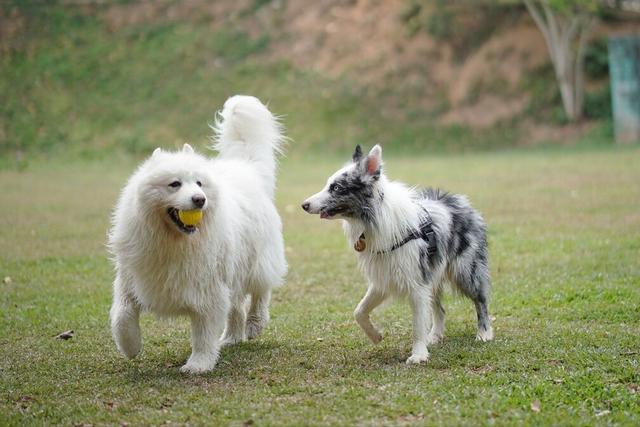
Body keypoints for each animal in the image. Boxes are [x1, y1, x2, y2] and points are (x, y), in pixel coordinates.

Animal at [108, 95, 288, 372]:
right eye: (175, 184)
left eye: (199, 183)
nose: (200, 199)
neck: (173, 241)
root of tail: (245, 168)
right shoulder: (131, 278)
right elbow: (121, 315)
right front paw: (130, 346)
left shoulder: (208, 290)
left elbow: (203, 334)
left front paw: (198, 365)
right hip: (233, 272)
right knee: (236, 306)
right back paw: (232, 337)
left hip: (257, 262)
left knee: (260, 293)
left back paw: (254, 325)